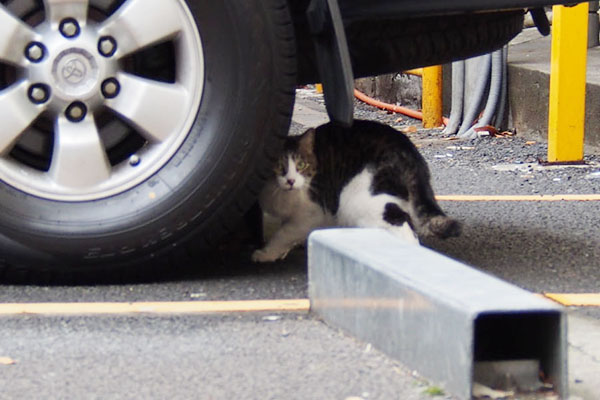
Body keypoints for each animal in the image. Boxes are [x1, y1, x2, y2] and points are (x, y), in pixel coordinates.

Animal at [251, 119, 462, 262]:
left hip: (359, 201)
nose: (291, 180)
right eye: (278, 166)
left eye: (301, 165)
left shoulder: (311, 213)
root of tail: (408, 149)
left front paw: (267, 253)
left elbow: (284, 232)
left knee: (401, 226)